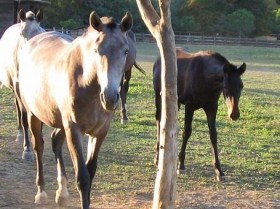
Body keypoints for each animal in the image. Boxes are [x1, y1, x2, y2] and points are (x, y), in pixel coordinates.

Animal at [0, 8, 44, 160]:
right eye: (21, 34)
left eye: (40, 32)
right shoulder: (18, 87)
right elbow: (24, 117)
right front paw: (27, 149)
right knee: (18, 107)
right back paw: (20, 134)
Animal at [17, 11, 132, 209]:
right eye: (96, 50)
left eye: (125, 51)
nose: (110, 98)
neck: (86, 83)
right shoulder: (73, 129)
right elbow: (83, 177)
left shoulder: (100, 131)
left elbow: (90, 171)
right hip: (34, 115)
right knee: (38, 146)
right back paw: (41, 192)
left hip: (59, 121)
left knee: (55, 141)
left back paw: (62, 193)